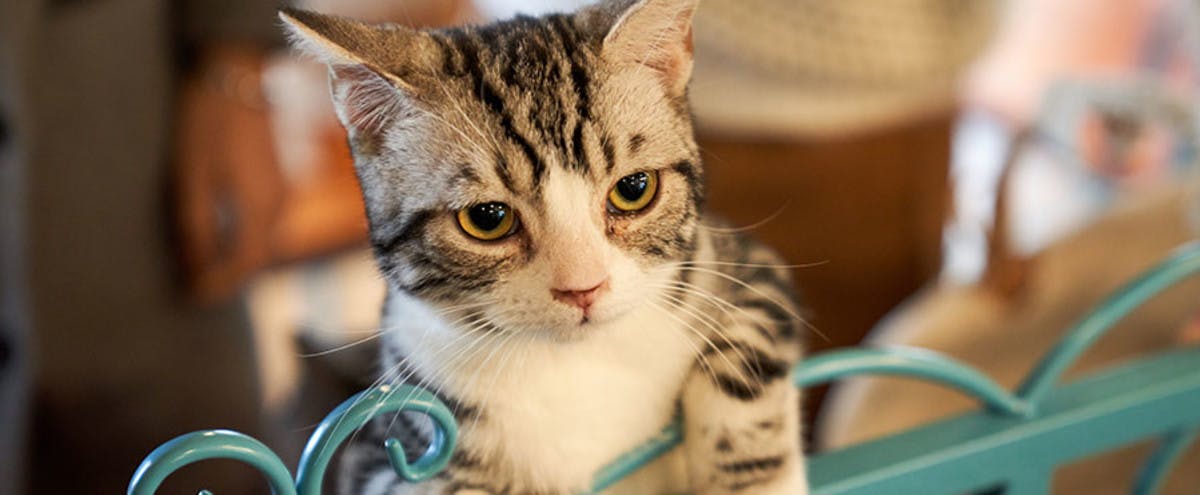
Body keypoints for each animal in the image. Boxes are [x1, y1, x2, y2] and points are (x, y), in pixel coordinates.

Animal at [279, 1, 806, 492]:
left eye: (634, 189)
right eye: (487, 218)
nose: (583, 288)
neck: (574, 363)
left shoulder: (738, 265)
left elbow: (745, 358)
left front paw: (758, 483)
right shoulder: (385, 448)